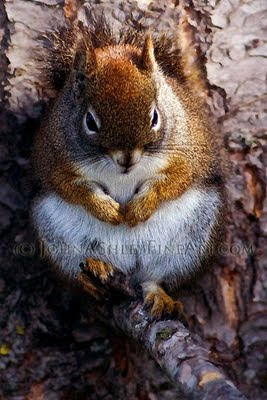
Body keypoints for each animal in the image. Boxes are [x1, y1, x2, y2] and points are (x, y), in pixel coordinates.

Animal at [32, 21, 227, 318]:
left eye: (155, 116)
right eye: (90, 121)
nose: (127, 160)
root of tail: (129, 265)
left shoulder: (189, 152)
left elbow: (175, 180)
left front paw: (139, 207)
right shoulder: (54, 159)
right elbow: (71, 187)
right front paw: (106, 209)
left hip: (192, 239)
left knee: (155, 277)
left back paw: (159, 296)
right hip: (57, 236)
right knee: (79, 267)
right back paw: (95, 272)